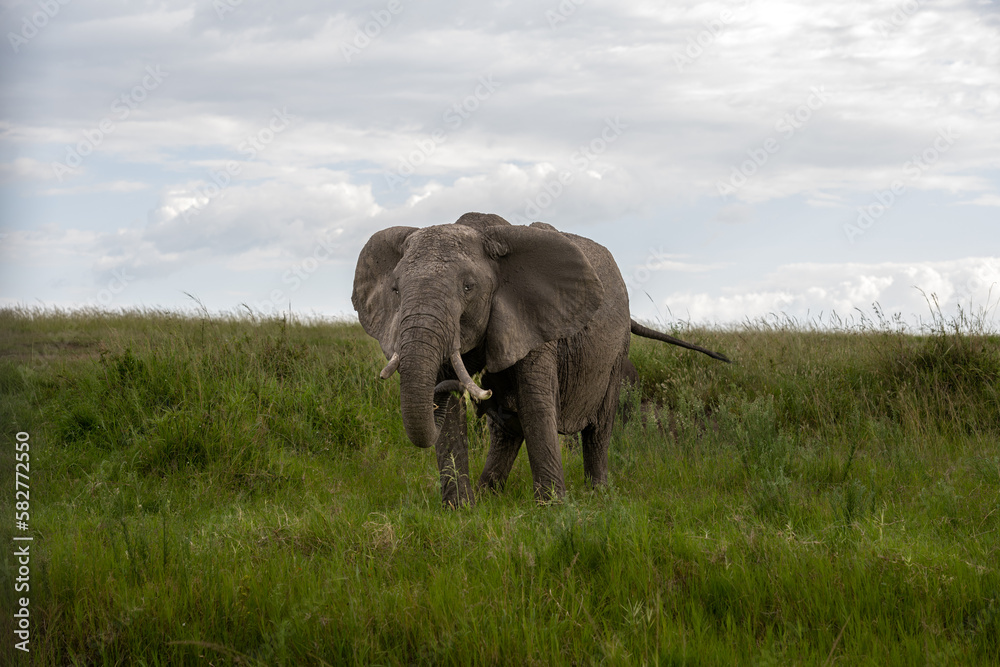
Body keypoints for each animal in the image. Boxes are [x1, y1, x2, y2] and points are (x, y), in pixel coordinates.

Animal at [352, 212, 730, 506]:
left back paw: (599, 496)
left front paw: (552, 510)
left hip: (617, 350)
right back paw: (489, 494)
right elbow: (451, 415)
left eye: (468, 288)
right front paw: (459, 511)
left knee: (597, 427)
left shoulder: (537, 323)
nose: (477, 387)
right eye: (396, 290)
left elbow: (535, 403)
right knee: (506, 430)